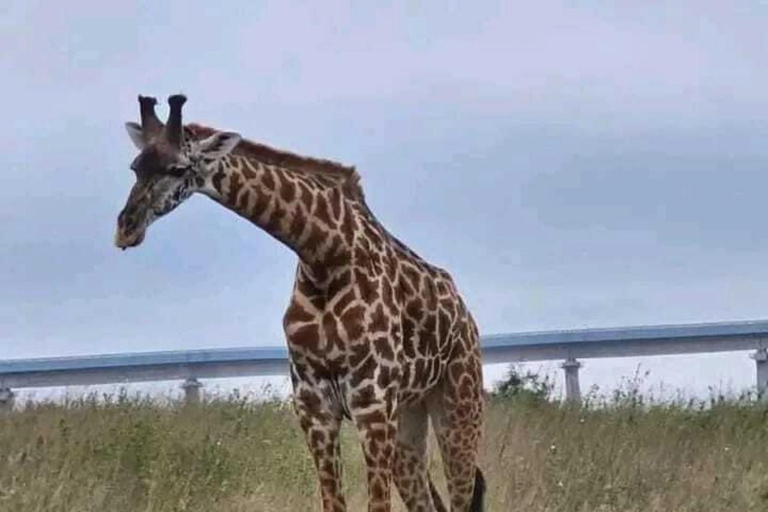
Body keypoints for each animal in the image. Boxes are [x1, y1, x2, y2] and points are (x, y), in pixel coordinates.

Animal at [115, 95, 486, 512]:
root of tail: (466, 318)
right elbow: (333, 504)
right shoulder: (314, 407)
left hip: (458, 405)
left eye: (178, 168)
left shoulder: (372, 405)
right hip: (410, 416)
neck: (324, 254)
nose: (126, 228)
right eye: (135, 167)